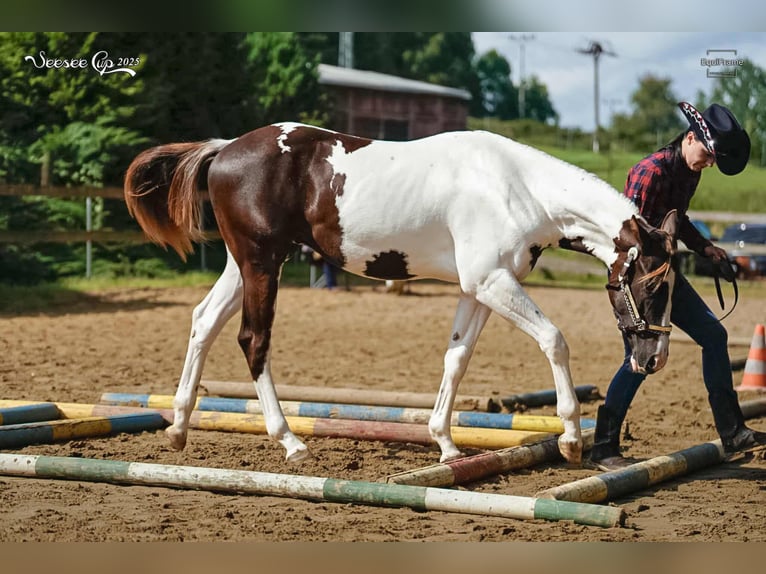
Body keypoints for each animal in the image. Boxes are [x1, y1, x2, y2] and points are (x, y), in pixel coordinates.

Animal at [124, 122, 678, 466]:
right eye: (655, 283)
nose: (654, 358)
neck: (517, 187)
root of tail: (225, 148)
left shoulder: (477, 290)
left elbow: (456, 359)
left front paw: (446, 444)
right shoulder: (492, 282)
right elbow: (554, 339)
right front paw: (569, 439)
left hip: (244, 266)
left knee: (203, 321)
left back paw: (179, 427)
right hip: (262, 264)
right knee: (253, 340)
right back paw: (290, 442)